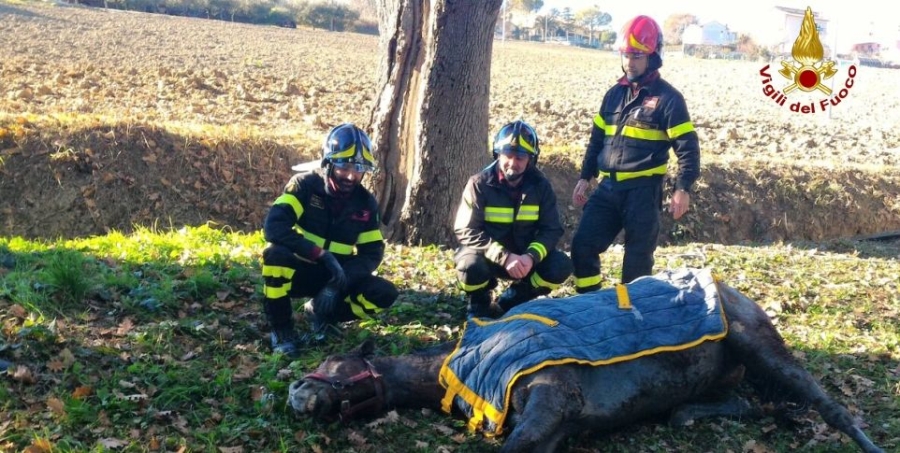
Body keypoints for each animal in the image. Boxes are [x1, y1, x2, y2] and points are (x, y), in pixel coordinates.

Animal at [288, 272, 884, 453]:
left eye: (336, 361)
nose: (296, 392)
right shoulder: (557, 425)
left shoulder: (554, 398)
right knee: (744, 403)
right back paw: (690, 415)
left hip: (758, 345)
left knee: (826, 405)